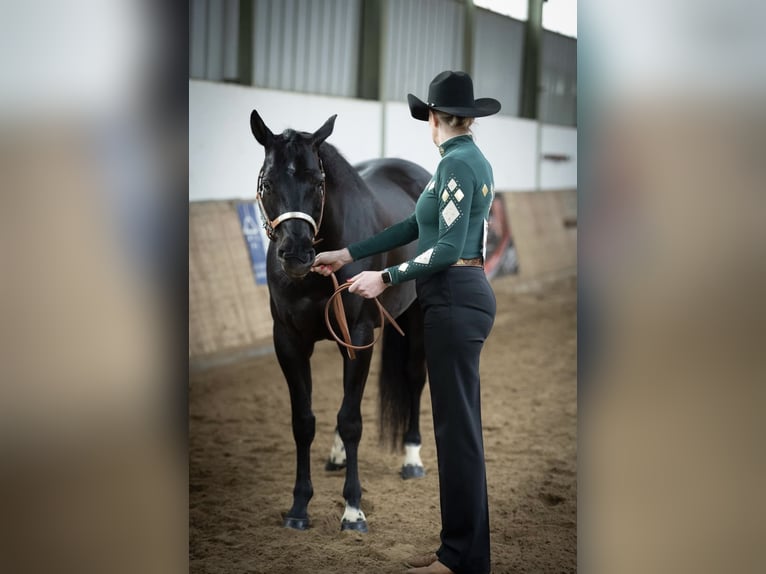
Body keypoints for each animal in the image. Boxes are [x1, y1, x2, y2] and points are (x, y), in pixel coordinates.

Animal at [249, 109, 430, 532]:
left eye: (318, 183)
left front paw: (352, 509)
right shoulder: (289, 341)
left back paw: (411, 459)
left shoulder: (360, 334)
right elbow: (303, 421)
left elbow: (351, 420)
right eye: (267, 182)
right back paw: (336, 456)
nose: (296, 254)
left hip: (414, 316)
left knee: (414, 378)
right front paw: (299, 508)